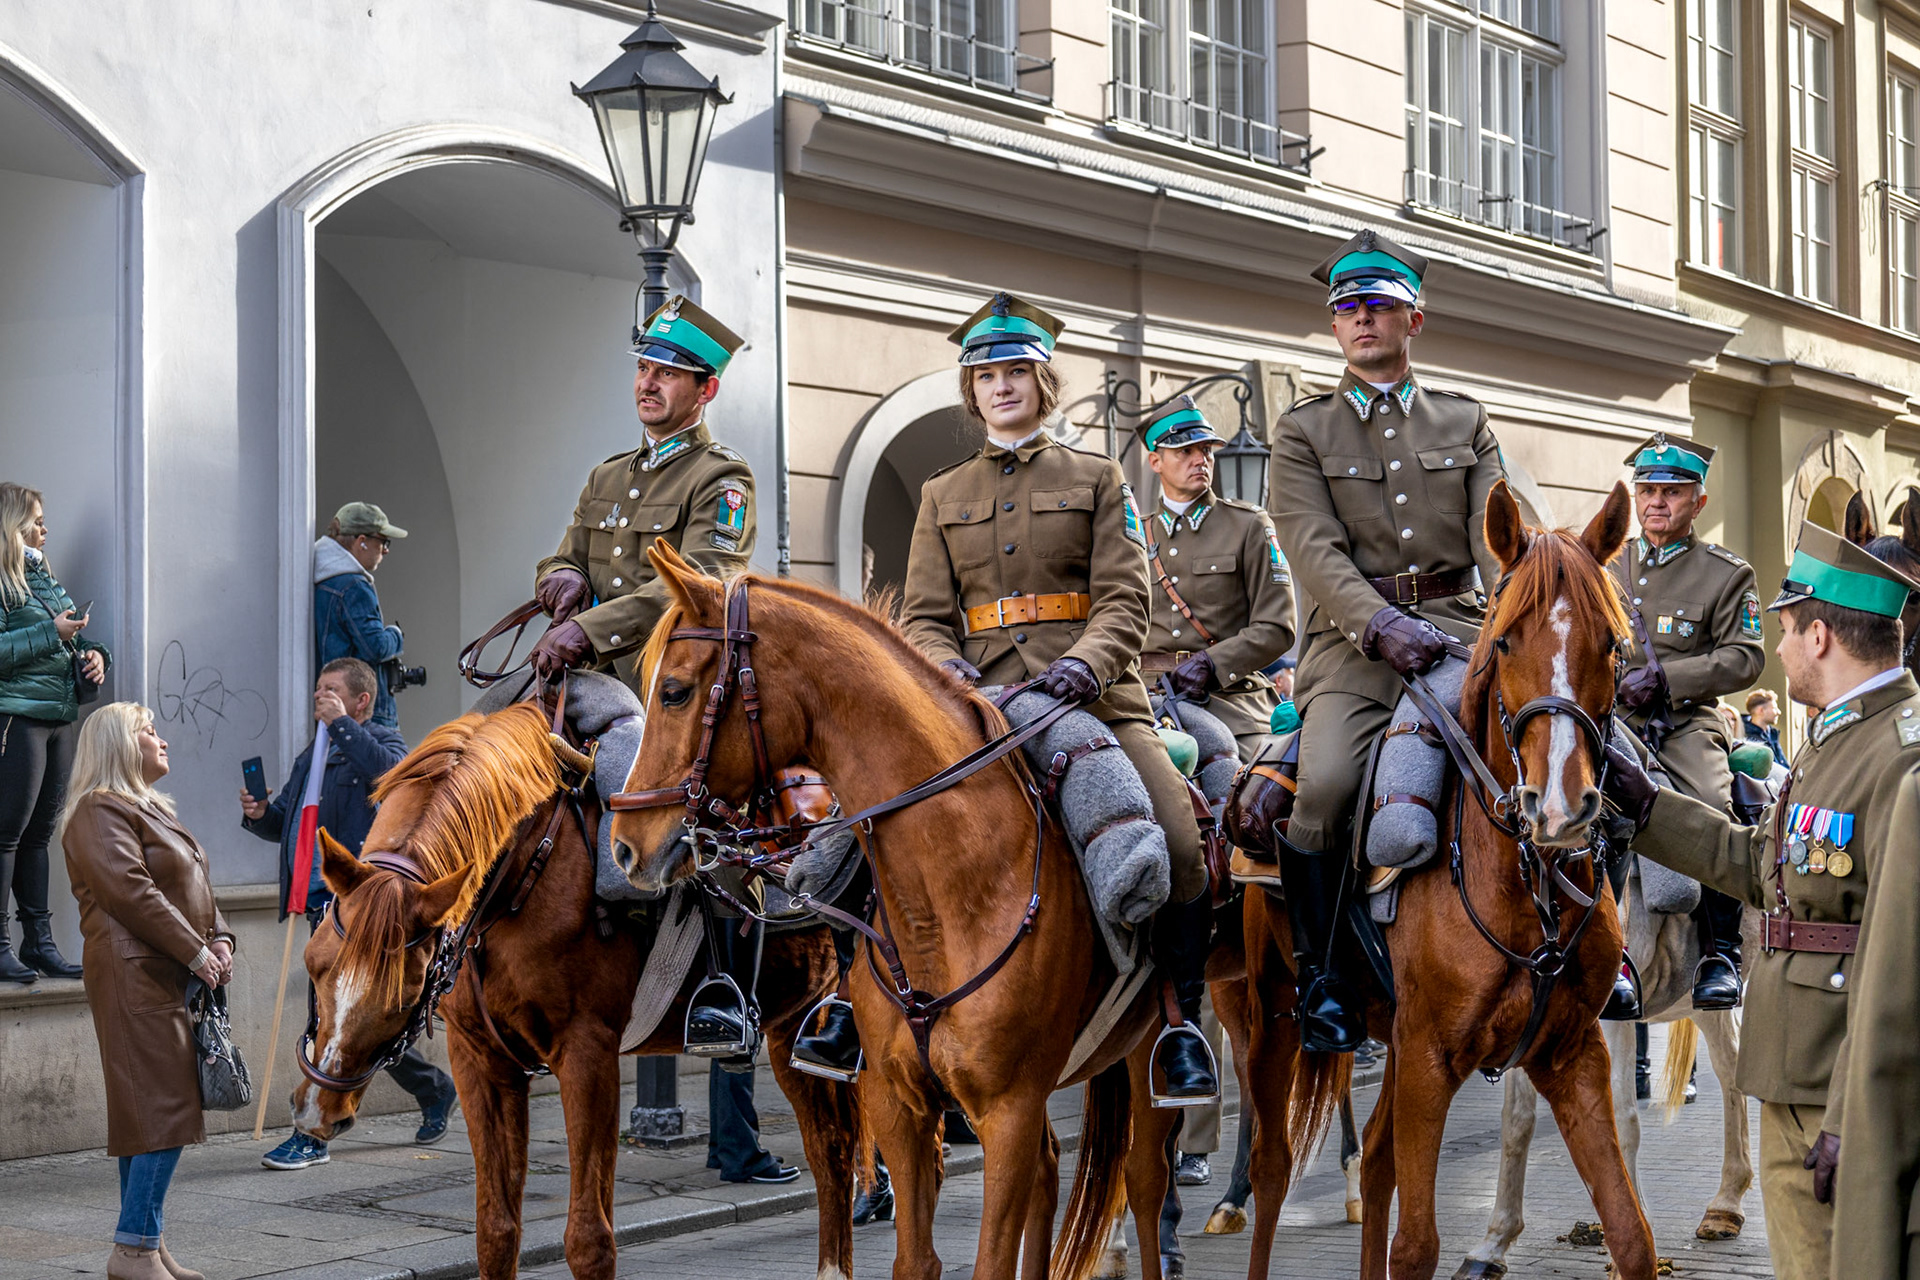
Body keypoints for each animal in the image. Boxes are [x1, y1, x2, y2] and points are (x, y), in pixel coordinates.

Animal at [289, 702, 863, 1280]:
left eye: (404, 992)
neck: (520, 881)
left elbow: (590, 1240)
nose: (317, 1111)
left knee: (843, 1152)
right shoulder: (480, 1060)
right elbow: (496, 1231)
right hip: (798, 1037)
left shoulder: (588, 1055)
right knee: (836, 1153)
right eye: (313, 965)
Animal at [606, 543, 1344, 1280]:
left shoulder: (1007, 1111)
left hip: (1222, 1018)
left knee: (1169, 1174)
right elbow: (918, 1258)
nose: (626, 845)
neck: (947, 893)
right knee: (1074, 1172)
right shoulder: (899, 1106)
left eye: (674, 690)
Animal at [1236, 480, 1658, 1280]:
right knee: (1273, 1169)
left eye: (1612, 646)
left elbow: (1631, 1233)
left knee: (1373, 1162)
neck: (1526, 892)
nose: (1560, 807)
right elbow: (1416, 1246)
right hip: (1271, 1016)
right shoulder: (1431, 1058)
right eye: (1505, 641)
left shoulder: (1569, 1054)